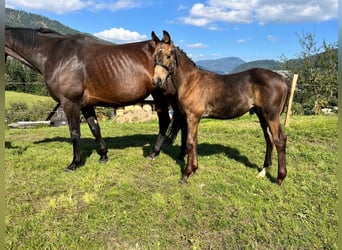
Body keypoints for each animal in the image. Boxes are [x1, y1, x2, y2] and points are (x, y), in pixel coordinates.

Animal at [4, 26, 187, 172]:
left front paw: (74, 163)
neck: (56, 55)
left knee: (167, 121)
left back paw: (155, 152)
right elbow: (95, 128)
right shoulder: (86, 104)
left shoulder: (70, 103)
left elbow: (75, 132)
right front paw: (104, 155)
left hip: (162, 96)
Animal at [152, 30, 288, 186]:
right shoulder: (194, 118)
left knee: (279, 140)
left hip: (271, 116)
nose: (157, 81)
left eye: (168, 55)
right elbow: (194, 141)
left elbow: (190, 143)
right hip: (262, 115)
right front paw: (193, 169)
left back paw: (279, 178)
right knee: (269, 139)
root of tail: (283, 79)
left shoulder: (193, 117)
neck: (191, 81)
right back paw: (263, 171)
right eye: (154, 56)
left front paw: (186, 174)